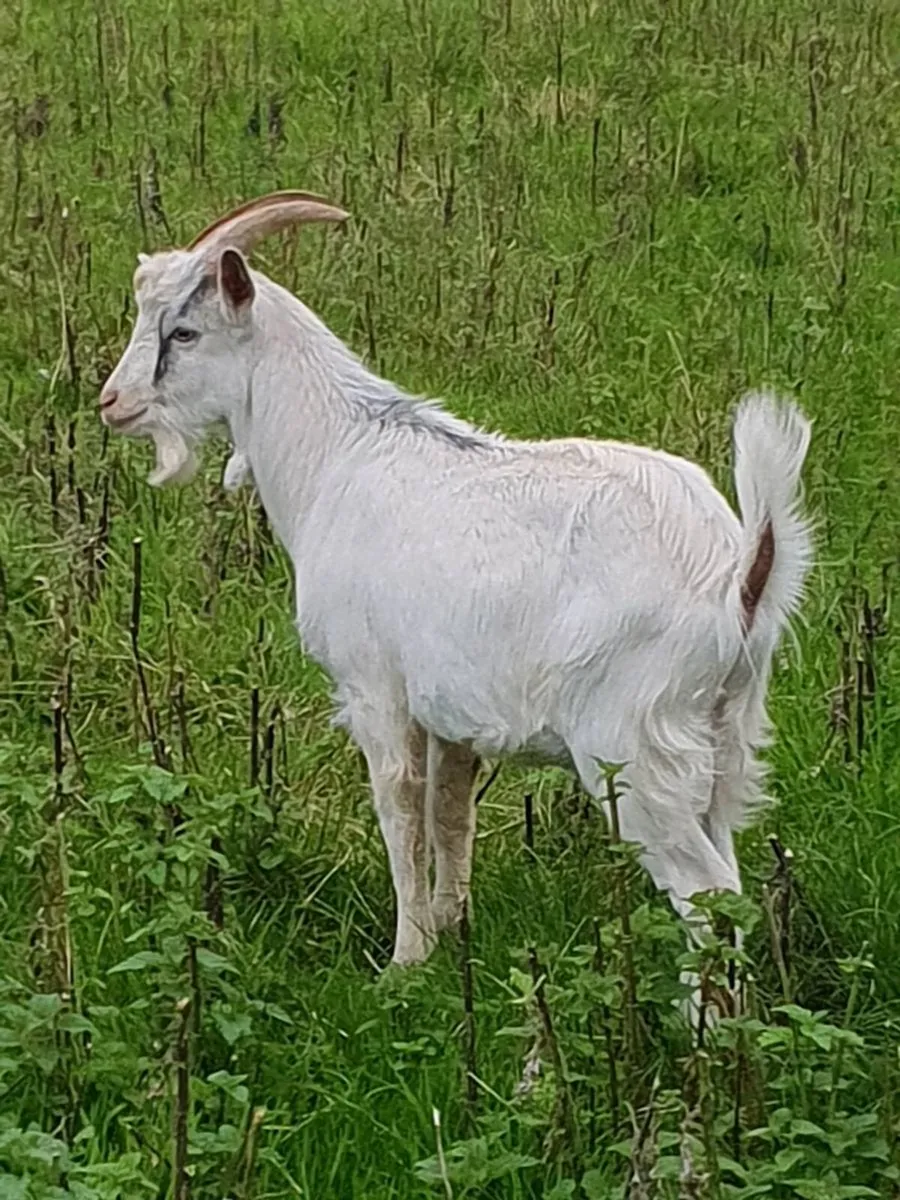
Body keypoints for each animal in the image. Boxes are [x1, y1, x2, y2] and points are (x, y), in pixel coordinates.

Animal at [100, 191, 813, 1015]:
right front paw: (451, 929)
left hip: (633, 748)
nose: (112, 403)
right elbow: (450, 813)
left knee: (706, 890)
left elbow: (401, 810)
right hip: (727, 735)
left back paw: (700, 1029)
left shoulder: (375, 689)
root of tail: (740, 574)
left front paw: (405, 961)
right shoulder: (452, 711)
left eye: (183, 331)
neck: (338, 455)